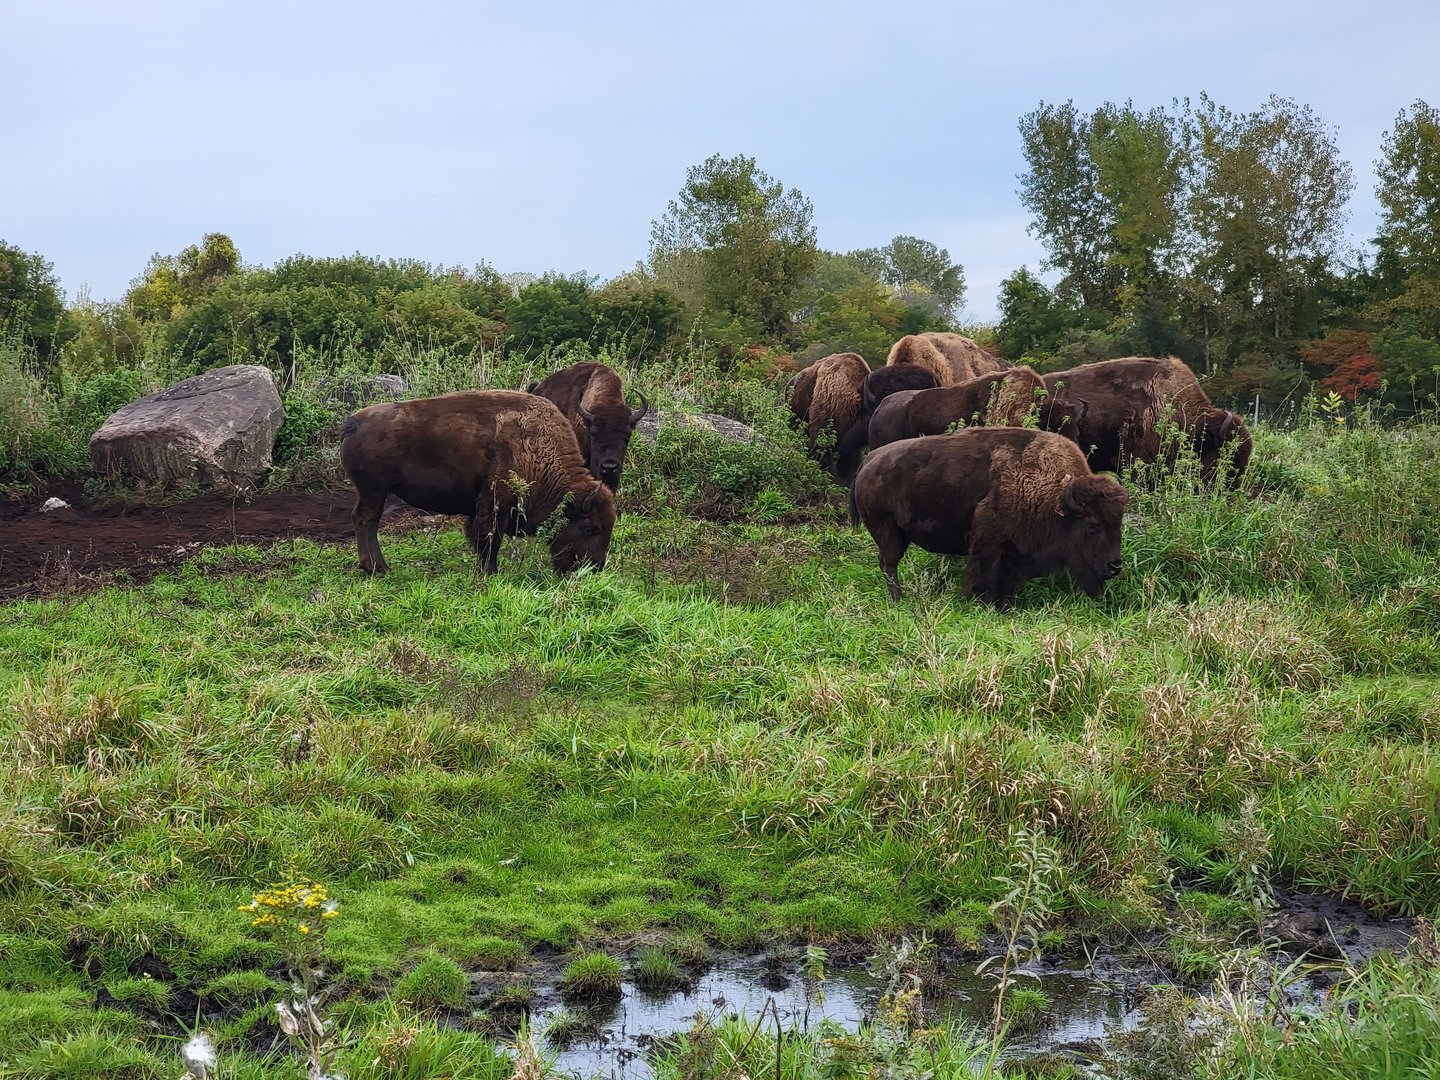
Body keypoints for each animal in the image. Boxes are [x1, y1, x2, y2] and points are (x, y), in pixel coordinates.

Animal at [340, 391, 616, 576]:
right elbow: (489, 539)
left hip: (374, 492)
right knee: (365, 521)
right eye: (590, 527)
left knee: (365, 521)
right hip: (374, 490)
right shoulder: (496, 503)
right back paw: (377, 568)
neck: (536, 448)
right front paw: (490, 572)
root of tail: (355, 422)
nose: (595, 567)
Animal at [850, 427, 1129, 606]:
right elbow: (985, 576)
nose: (1115, 566)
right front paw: (981, 603)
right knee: (889, 564)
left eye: (1118, 523)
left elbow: (1007, 581)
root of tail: (871, 459)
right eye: (1091, 525)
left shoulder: (1015, 553)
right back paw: (899, 601)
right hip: (887, 532)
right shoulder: (989, 545)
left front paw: (1005, 606)